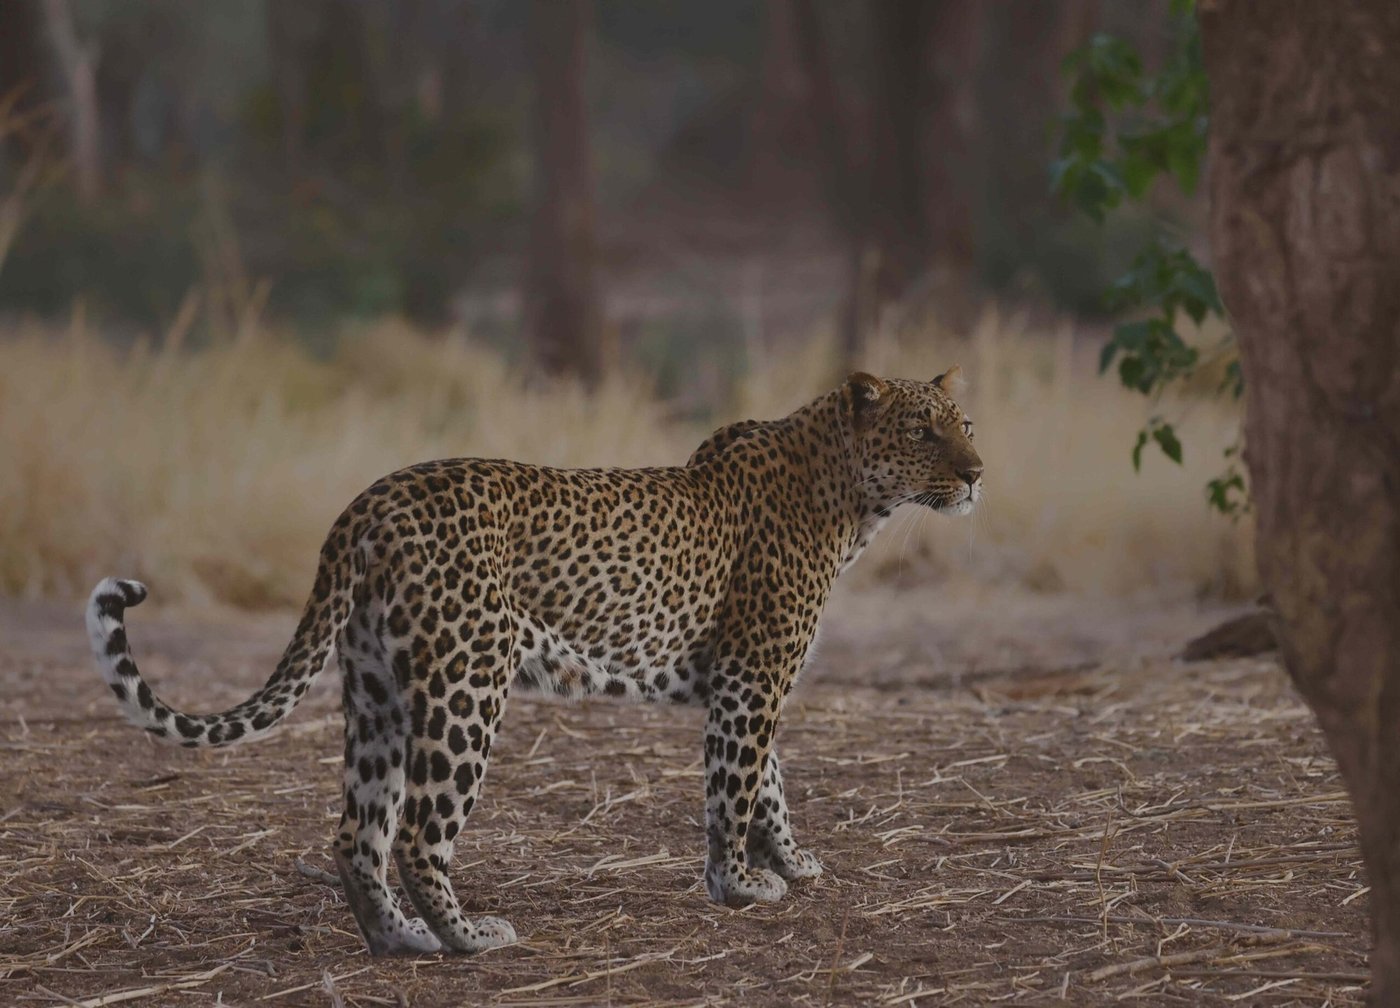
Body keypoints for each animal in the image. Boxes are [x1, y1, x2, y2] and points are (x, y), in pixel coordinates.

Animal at [86, 369, 983, 956]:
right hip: (465, 686)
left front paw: (789, 863)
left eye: (964, 425)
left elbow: (769, 780)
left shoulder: (746, 679)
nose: (978, 474)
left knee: (356, 833)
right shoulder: (751, 677)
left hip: (376, 693)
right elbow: (734, 786)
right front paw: (739, 883)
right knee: (419, 833)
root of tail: (366, 504)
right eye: (922, 430)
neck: (850, 500)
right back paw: (471, 936)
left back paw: (400, 940)